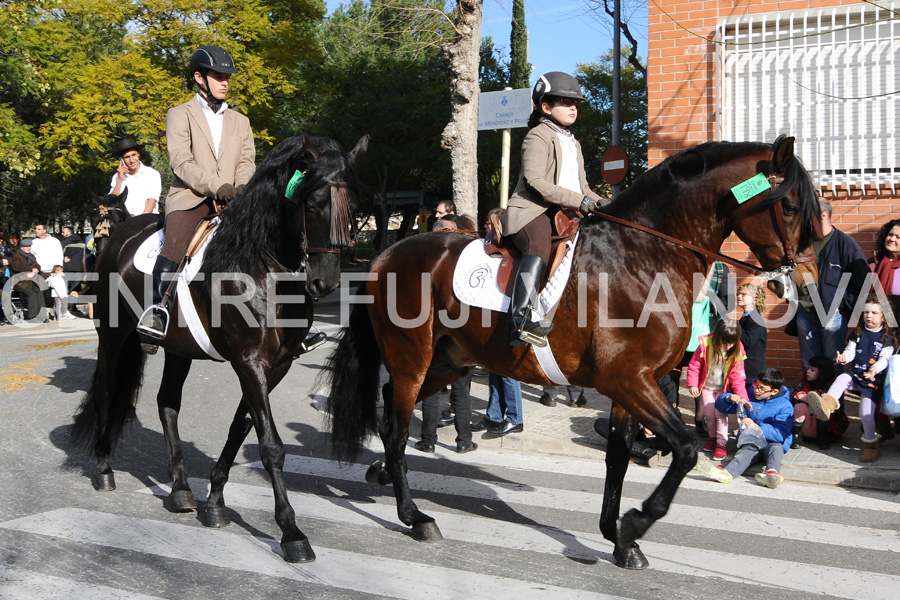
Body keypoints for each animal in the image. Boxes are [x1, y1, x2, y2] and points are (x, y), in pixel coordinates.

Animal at [70, 131, 366, 564]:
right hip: (113, 334)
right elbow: (271, 445)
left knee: (167, 403)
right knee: (108, 392)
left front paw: (214, 501)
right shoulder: (249, 361)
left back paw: (180, 491)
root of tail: (121, 239)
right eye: (313, 204)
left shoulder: (275, 366)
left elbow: (240, 428)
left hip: (177, 348)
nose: (324, 283)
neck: (264, 268)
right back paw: (105, 470)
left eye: (354, 207)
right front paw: (291, 533)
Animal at [326, 137, 824, 572]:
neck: (645, 255)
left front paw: (619, 540)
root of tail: (385, 255)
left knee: (391, 413)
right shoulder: (628, 379)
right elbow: (684, 449)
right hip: (413, 360)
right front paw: (635, 524)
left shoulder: (631, 385)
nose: (806, 284)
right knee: (396, 426)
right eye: (791, 207)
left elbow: (619, 457)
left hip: (448, 363)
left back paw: (381, 474)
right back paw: (415, 516)